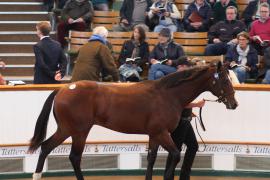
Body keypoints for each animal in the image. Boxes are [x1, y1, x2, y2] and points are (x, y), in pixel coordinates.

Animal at [28, 62, 237, 180]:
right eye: (225, 80)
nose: (234, 103)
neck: (168, 95)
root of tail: (63, 89)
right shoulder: (162, 133)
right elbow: (176, 155)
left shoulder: (155, 135)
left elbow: (151, 159)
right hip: (78, 131)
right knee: (74, 157)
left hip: (66, 130)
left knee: (46, 147)